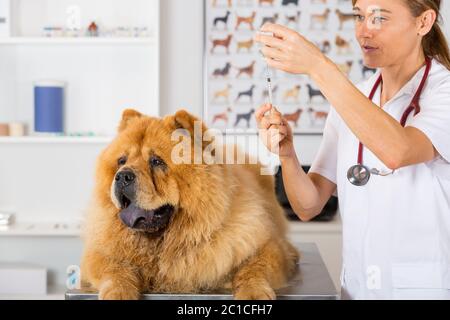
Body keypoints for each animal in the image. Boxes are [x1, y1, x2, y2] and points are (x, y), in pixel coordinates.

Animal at [81, 109, 298, 300]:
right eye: (121, 160)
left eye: (156, 161)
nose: (122, 176)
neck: (162, 242)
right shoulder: (100, 253)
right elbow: (115, 270)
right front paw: (118, 292)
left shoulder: (264, 245)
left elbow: (254, 269)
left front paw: (253, 293)